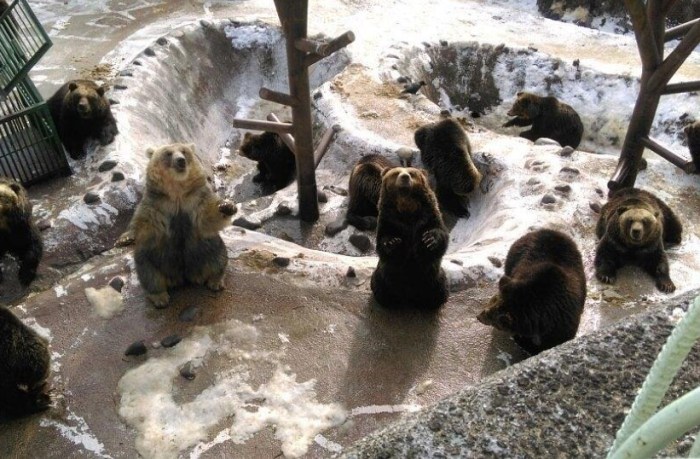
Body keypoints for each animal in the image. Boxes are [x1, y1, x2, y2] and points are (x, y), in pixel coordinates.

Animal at [128, 143, 237, 307]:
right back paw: (159, 297)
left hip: (205, 249)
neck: (177, 191)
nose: (181, 161)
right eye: (168, 153)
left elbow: (207, 217)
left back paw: (215, 281)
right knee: (147, 270)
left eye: (184, 151)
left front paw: (227, 207)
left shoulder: (195, 198)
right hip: (155, 257)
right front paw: (127, 236)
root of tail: (184, 276)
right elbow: (146, 224)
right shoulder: (157, 203)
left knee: (218, 256)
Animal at [370, 167, 449, 311]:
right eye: (396, 173)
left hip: (433, 278)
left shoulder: (428, 216)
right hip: (384, 277)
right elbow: (383, 242)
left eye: (412, 173)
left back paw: (430, 302)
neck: (407, 208)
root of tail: (409, 298)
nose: (405, 177)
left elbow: (439, 233)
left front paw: (429, 240)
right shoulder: (389, 220)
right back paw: (390, 300)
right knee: (379, 285)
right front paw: (393, 242)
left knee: (440, 288)